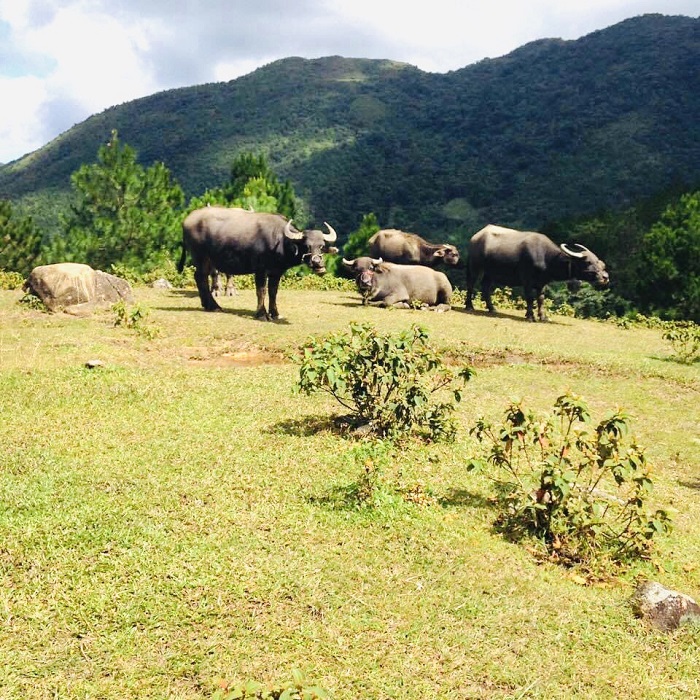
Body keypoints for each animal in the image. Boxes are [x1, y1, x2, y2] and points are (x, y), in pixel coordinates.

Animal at [180, 206, 340, 318]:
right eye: (306, 246)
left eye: (321, 246)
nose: (318, 263)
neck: (279, 240)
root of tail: (187, 220)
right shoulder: (260, 270)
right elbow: (261, 291)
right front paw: (262, 314)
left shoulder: (276, 272)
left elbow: (273, 291)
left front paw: (275, 313)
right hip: (200, 256)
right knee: (201, 277)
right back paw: (213, 306)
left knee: (200, 277)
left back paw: (208, 304)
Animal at [468, 224, 608, 322]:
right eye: (588, 262)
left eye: (598, 260)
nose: (605, 277)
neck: (547, 258)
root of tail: (476, 237)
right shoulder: (527, 280)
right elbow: (530, 298)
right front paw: (530, 316)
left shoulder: (542, 283)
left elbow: (541, 299)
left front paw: (543, 316)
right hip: (475, 266)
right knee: (471, 283)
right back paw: (469, 306)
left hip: (490, 272)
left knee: (485, 286)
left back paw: (492, 308)